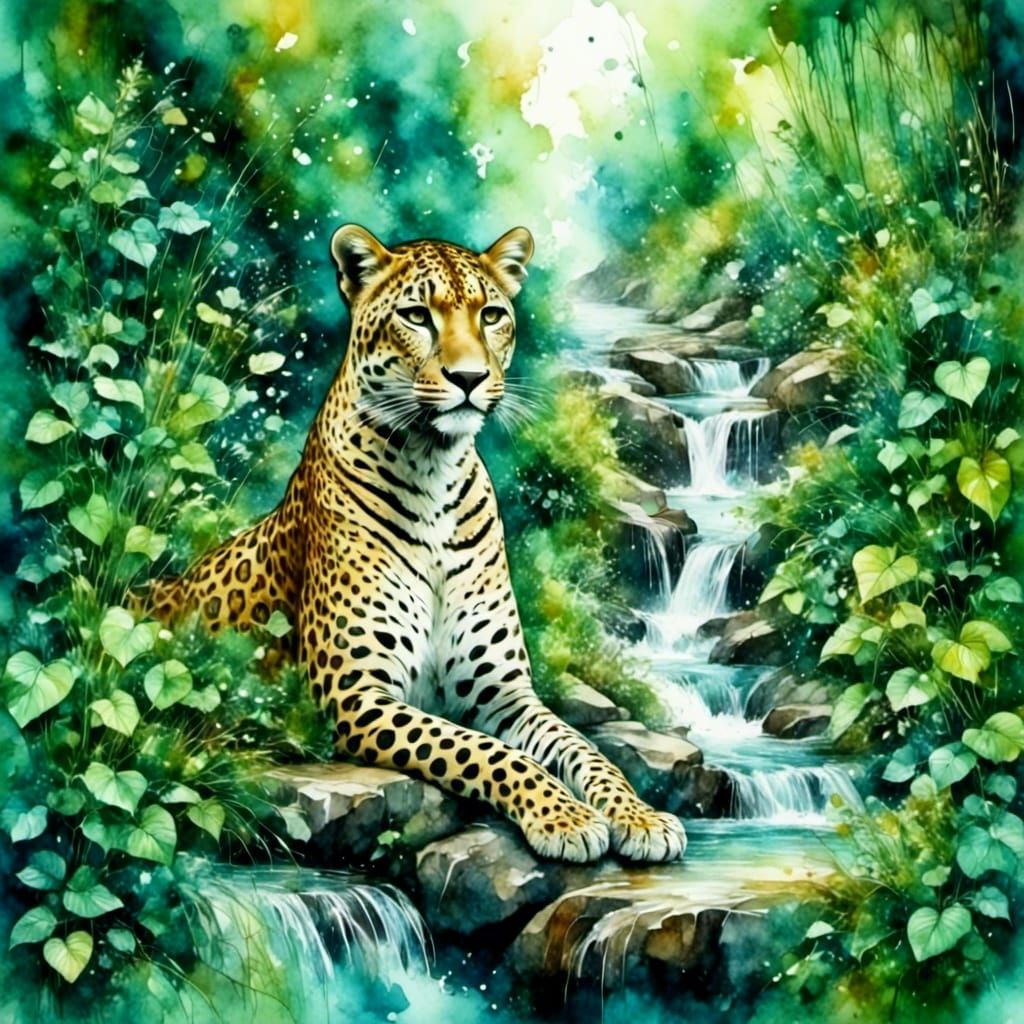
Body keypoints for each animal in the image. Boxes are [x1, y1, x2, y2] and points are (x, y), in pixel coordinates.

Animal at [143, 223, 687, 863]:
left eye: (491, 315)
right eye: (416, 316)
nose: (469, 379)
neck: (434, 471)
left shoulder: (505, 694)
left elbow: (583, 749)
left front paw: (640, 815)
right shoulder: (357, 693)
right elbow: (484, 752)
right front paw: (564, 817)